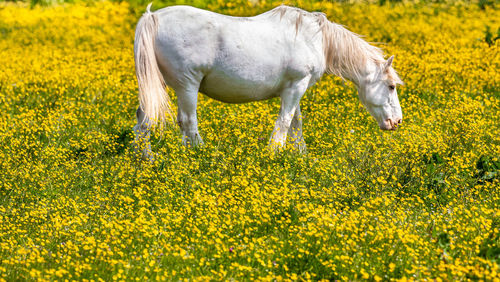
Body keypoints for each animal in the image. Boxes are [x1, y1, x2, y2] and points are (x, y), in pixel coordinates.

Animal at [133, 2, 402, 159]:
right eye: (390, 86)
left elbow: (296, 123)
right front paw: (274, 154)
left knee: (143, 120)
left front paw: (301, 156)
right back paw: (201, 154)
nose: (397, 122)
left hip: (159, 85)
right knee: (188, 122)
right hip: (187, 86)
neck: (316, 39)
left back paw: (145, 159)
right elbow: (284, 122)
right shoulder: (296, 86)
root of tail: (153, 17)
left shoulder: (295, 88)